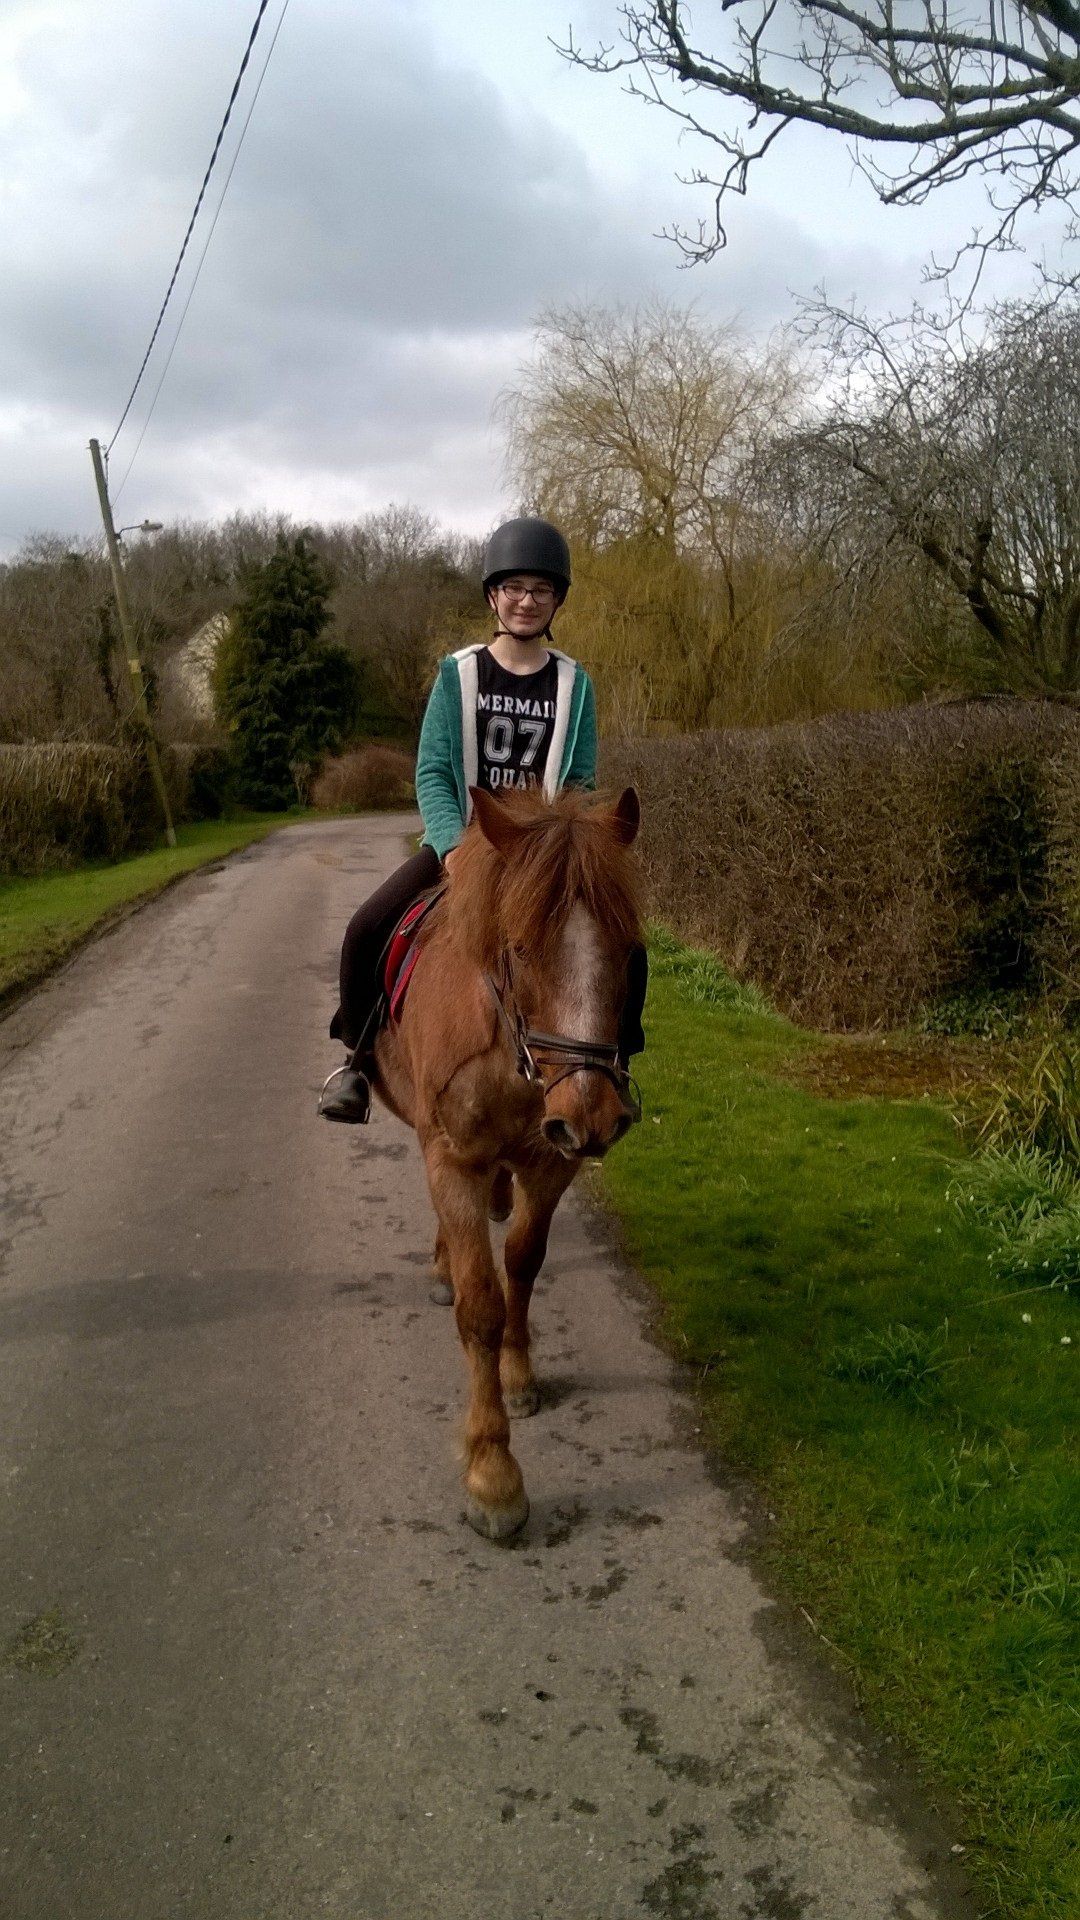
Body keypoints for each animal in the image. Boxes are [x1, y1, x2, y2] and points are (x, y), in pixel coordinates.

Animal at [370, 783, 643, 1543]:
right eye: (518, 948)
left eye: (629, 950)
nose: (593, 1115)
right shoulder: (454, 1159)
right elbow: (479, 1309)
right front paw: (494, 1475)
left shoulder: (551, 1163)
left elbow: (522, 1263)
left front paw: (519, 1376)